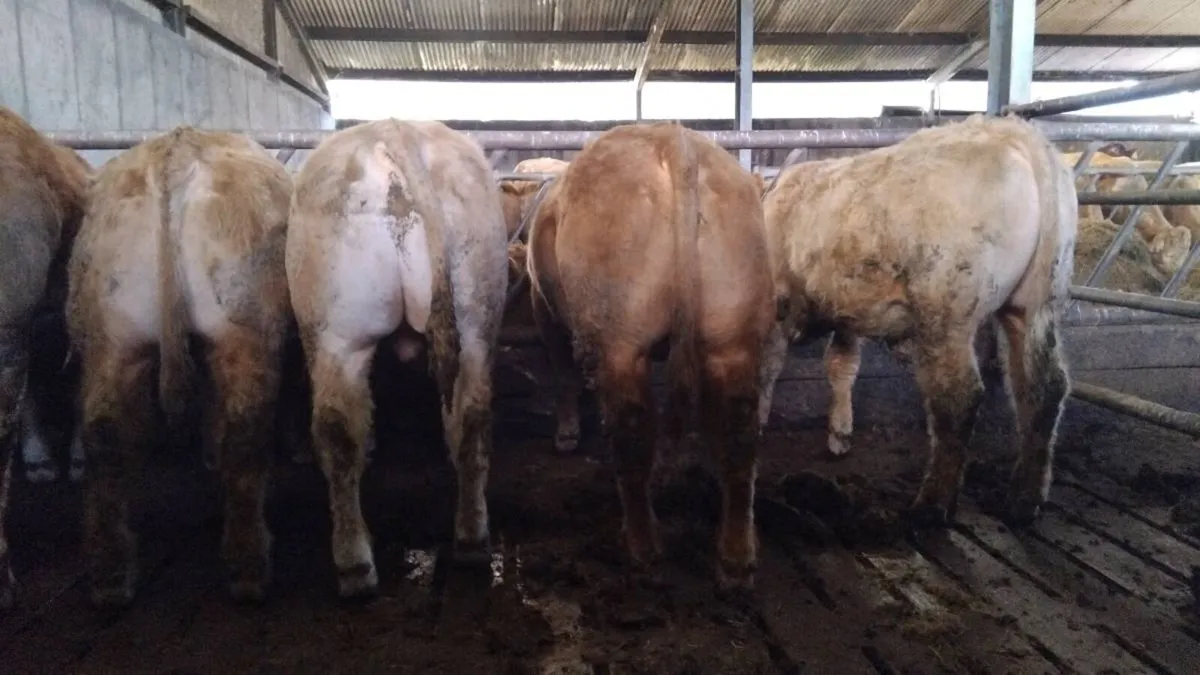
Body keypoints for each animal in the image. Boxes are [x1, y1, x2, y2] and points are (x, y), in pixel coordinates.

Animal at [66, 126, 294, 608]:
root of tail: (177, 147)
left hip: (112, 332)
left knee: (104, 430)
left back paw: (111, 577)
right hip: (243, 328)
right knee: (245, 428)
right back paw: (249, 569)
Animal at [286, 119, 508, 599]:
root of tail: (396, 131)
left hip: (338, 335)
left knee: (337, 432)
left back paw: (353, 564)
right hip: (476, 319)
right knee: (471, 420)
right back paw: (471, 539)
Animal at [525, 122, 774, 589]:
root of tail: (672, 139)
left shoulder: (542, 309)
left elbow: (563, 373)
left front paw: (566, 432)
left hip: (621, 341)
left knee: (633, 434)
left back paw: (643, 547)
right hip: (733, 333)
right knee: (739, 436)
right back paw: (735, 557)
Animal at [758, 114, 1077, 528]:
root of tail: (1016, 132)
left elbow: (768, 366)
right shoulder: (847, 312)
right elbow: (841, 365)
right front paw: (839, 434)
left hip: (946, 315)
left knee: (959, 398)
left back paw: (932, 505)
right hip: (1033, 306)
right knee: (1041, 387)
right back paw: (1024, 498)